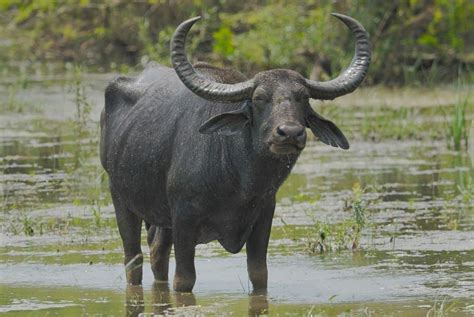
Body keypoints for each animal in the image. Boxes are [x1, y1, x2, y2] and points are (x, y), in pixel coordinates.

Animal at [100, 12, 370, 292]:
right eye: (259, 98)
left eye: (303, 97)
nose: (290, 133)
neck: (240, 182)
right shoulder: (184, 219)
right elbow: (184, 279)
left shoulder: (263, 215)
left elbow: (259, 274)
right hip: (120, 198)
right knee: (134, 259)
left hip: (160, 218)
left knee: (157, 253)